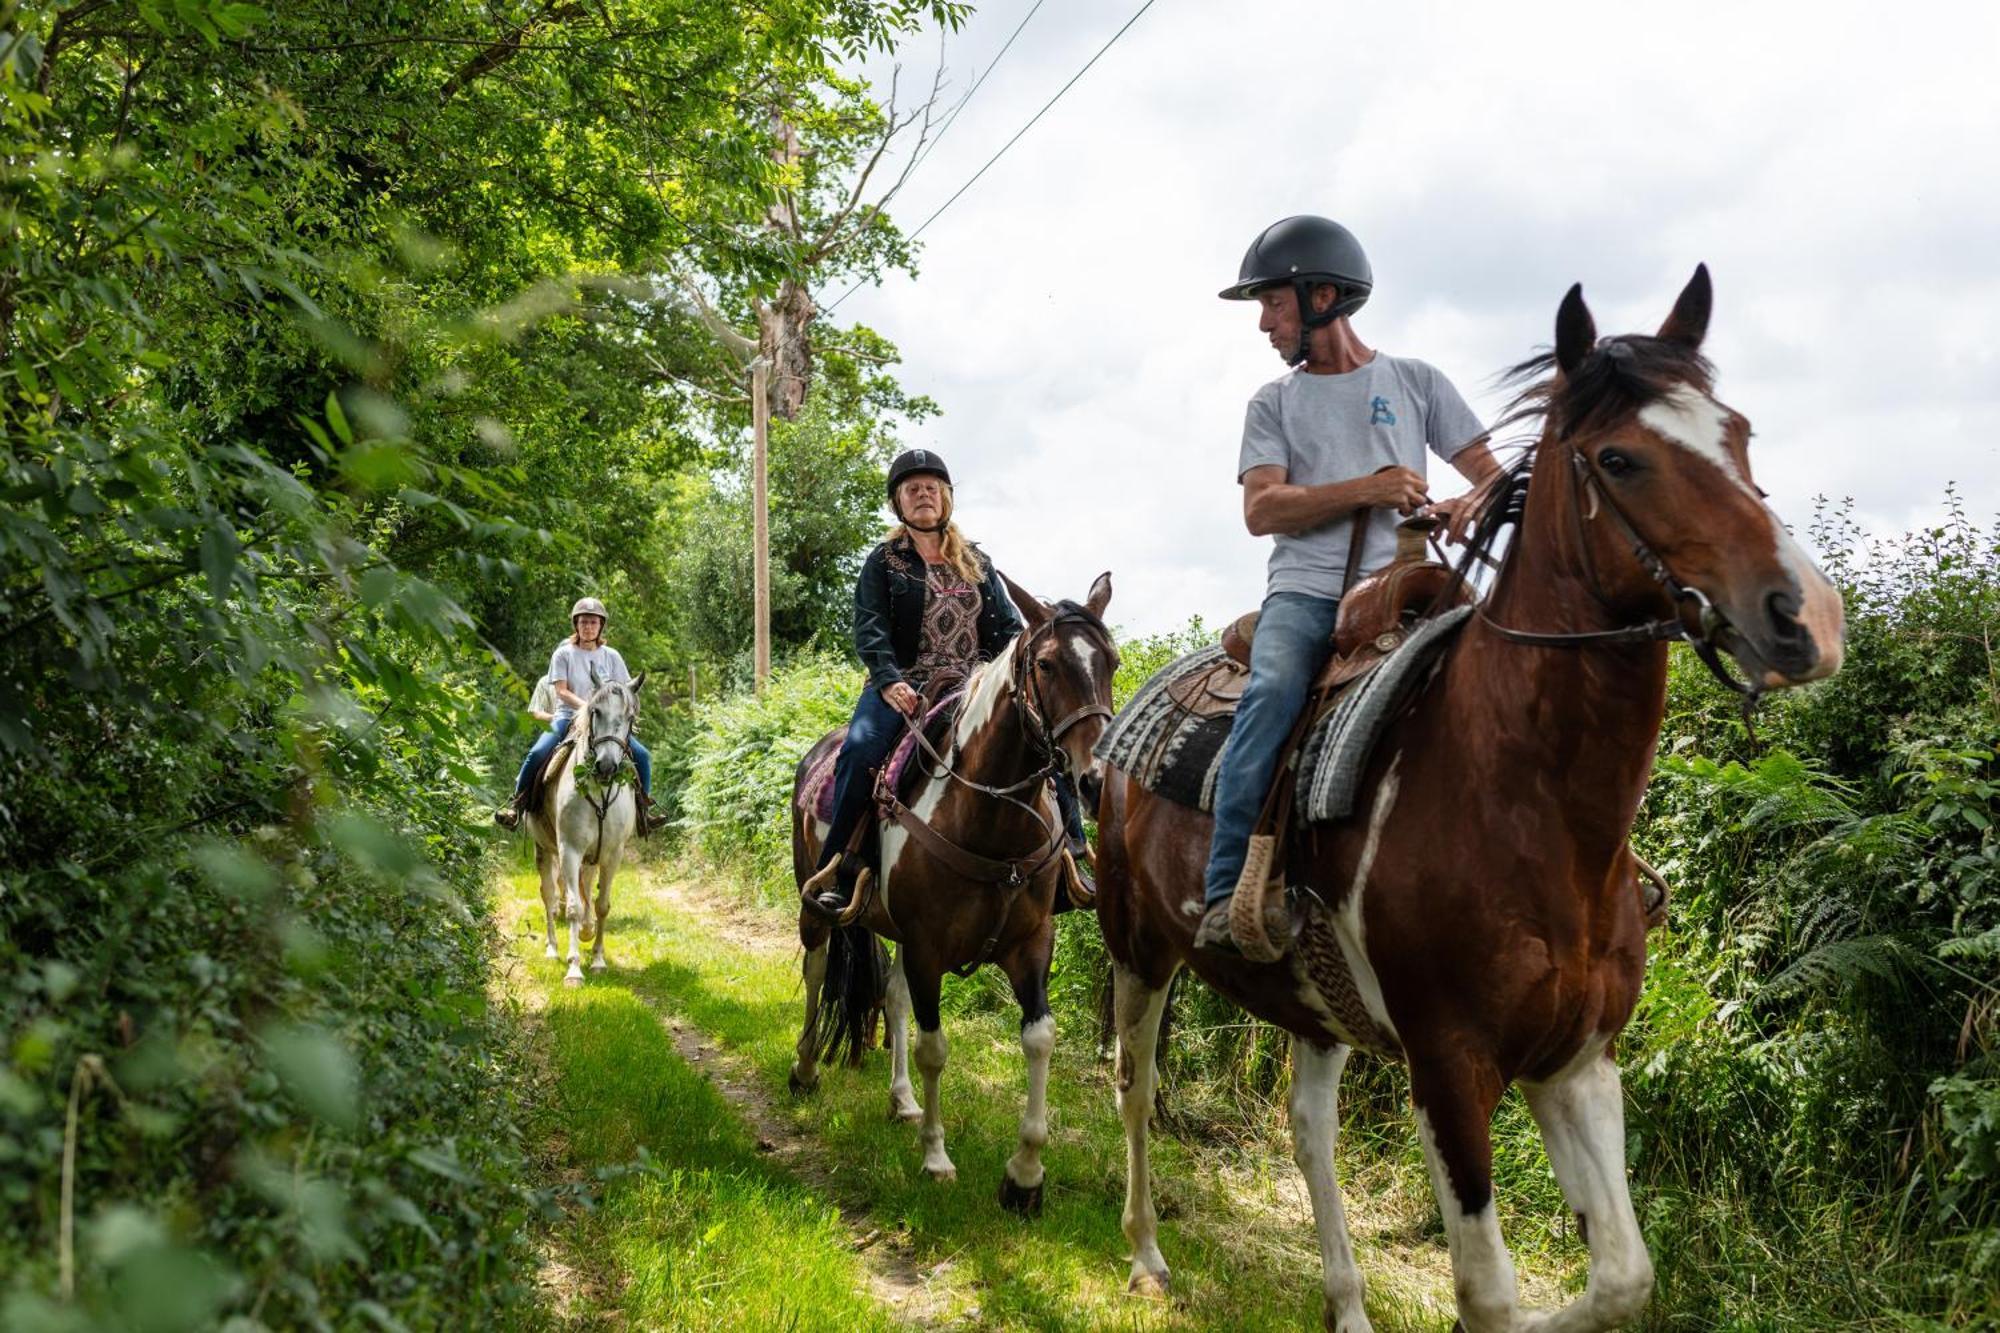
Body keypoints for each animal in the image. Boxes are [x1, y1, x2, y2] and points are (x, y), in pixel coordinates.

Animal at [524, 668, 640, 980]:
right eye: (595, 711)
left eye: (630, 716)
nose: (607, 766)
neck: (599, 791)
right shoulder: (570, 850)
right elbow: (574, 907)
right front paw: (574, 968)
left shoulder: (612, 854)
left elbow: (601, 905)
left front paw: (598, 958)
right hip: (544, 849)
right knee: (549, 895)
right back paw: (553, 949)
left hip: (591, 857)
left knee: (584, 886)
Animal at [1096, 264, 1840, 1320]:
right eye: (1619, 459)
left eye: (1737, 433)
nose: (1807, 615)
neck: (1531, 807)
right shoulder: (1450, 1066)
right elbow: (1489, 1293)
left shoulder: (1579, 1060)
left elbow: (1622, 1272)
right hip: (1140, 945)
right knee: (1131, 1080)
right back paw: (1147, 1254)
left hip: (1317, 1006)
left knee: (1309, 1130)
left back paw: (1348, 1305)